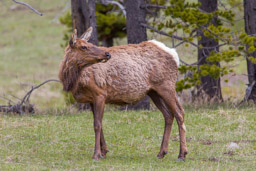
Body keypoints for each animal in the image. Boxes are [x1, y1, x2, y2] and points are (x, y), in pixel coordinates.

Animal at [59, 27, 187, 161]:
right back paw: (162, 152)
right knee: (168, 115)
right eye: (84, 47)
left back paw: (182, 154)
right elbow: (99, 124)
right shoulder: (91, 100)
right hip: (154, 92)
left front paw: (96, 154)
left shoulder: (100, 94)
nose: (107, 54)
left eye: (90, 44)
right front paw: (104, 152)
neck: (74, 81)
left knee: (179, 113)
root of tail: (174, 55)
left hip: (166, 86)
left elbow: (97, 125)